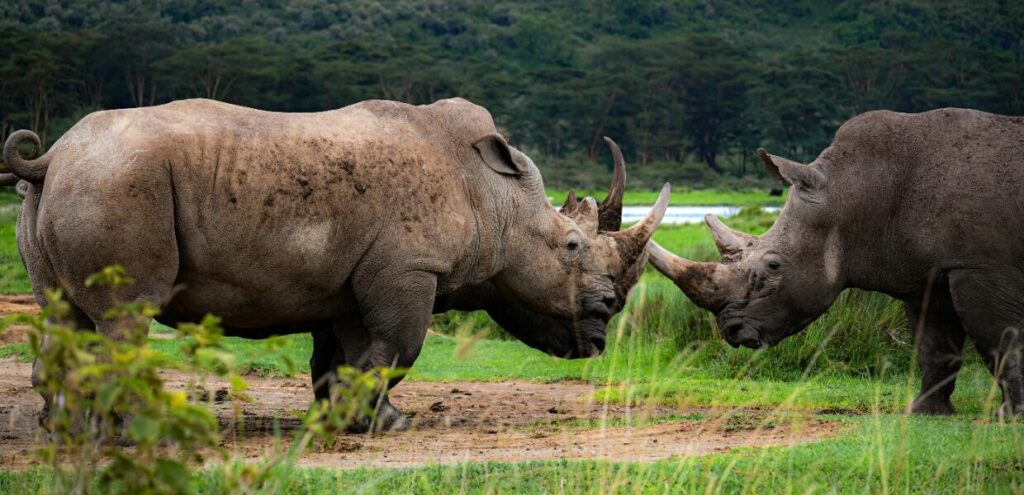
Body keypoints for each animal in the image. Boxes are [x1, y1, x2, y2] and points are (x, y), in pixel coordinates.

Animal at [3, 97, 669, 430]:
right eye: (572, 247)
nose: (606, 314)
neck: (493, 195)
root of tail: (52, 155)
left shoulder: (347, 278)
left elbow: (345, 354)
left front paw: (355, 419)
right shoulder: (410, 267)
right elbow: (400, 346)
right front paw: (376, 420)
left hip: (72, 186)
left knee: (61, 313)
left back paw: (72, 432)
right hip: (118, 181)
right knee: (127, 315)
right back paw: (140, 428)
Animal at [649, 108, 1024, 416]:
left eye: (773, 266)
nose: (732, 331)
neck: (856, 192)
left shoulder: (980, 267)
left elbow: (1000, 338)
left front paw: (1011, 416)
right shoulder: (927, 273)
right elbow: (934, 345)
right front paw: (926, 412)